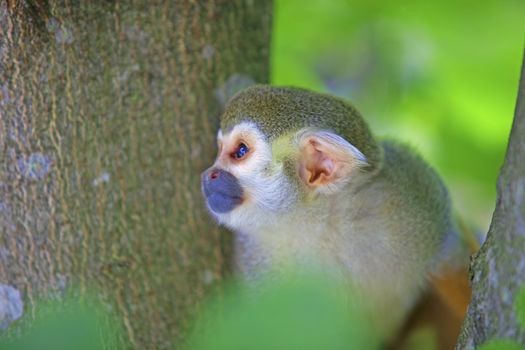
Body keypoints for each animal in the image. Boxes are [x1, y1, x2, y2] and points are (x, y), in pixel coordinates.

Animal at [201, 85, 466, 344]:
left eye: (240, 151)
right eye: (220, 149)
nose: (208, 175)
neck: (319, 222)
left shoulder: (410, 194)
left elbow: (449, 254)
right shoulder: (256, 262)